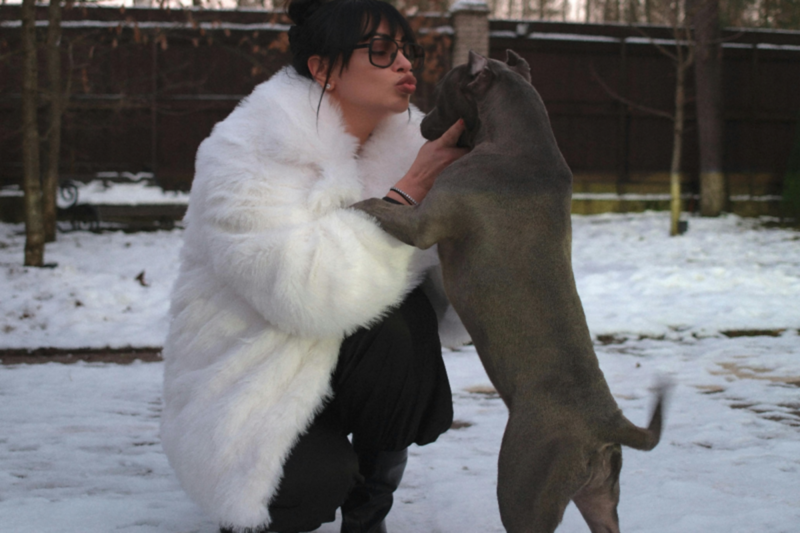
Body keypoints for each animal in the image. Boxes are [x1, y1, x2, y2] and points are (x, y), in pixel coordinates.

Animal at [351, 50, 667, 533]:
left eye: (443, 88)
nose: (421, 122)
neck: (522, 142)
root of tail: (605, 423)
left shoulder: (423, 222)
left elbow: (375, 205)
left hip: (522, 489)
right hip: (599, 500)